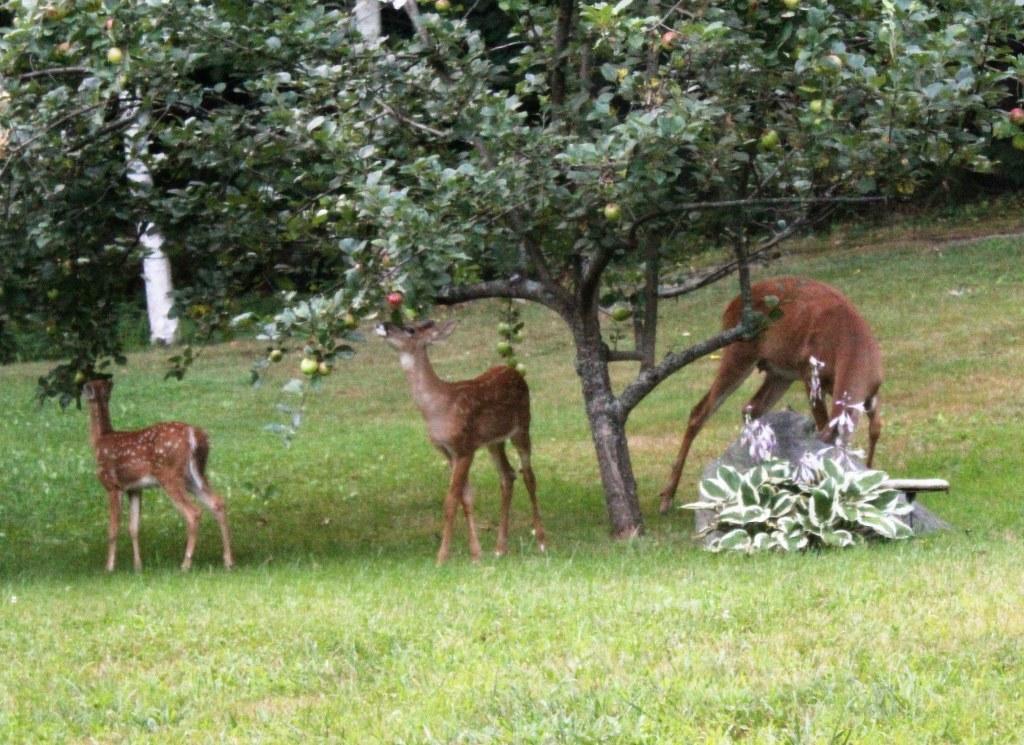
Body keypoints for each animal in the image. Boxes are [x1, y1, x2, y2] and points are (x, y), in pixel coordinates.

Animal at [81, 378, 234, 571]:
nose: (80, 388)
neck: (100, 440)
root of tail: (194, 435)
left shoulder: (112, 485)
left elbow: (113, 528)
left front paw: (109, 567)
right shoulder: (134, 489)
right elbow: (133, 527)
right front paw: (138, 566)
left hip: (169, 475)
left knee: (193, 512)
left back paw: (185, 564)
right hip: (194, 475)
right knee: (218, 503)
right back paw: (228, 561)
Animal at [377, 320, 546, 564]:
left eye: (410, 329)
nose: (383, 325)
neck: (438, 407)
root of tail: (514, 370)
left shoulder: (464, 447)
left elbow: (451, 500)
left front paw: (441, 557)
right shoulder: (448, 452)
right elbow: (465, 497)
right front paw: (476, 554)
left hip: (523, 426)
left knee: (529, 475)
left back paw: (542, 542)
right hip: (493, 441)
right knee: (508, 475)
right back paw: (500, 548)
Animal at [659, 276, 883, 514]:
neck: (853, 345)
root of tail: (731, 305)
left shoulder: (872, 392)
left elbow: (876, 428)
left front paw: (870, 475)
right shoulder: (809, 374)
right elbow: (824, 424)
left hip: (779, 372)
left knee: (750, 408)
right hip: (739, 352)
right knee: (700, 411)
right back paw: (667, 498)